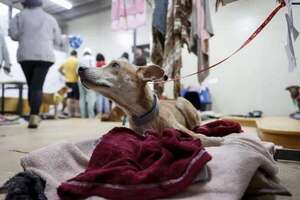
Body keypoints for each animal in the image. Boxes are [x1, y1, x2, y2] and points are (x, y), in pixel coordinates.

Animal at [78, 60, 224, 146]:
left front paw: (214, 140)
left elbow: (199, 136)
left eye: (115, 65)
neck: (142, 115)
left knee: (196, 125)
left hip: (182, 102)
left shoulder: (179, 127)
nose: (80, 68)